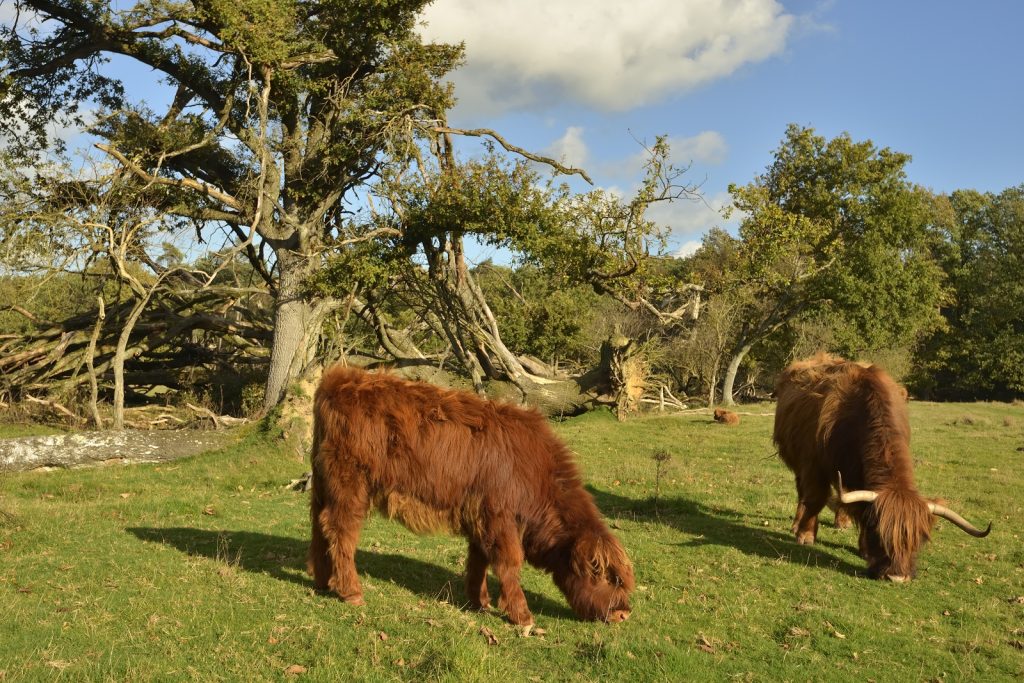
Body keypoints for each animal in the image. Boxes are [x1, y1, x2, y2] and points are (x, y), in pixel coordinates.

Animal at [305, 366, 630, 626]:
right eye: (603, 575)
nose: (624, 613)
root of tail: (340, 378)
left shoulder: (481, 516)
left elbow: (479, 560)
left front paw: (479, 602)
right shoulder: (499, 517)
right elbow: (509, 562)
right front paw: (521, 615)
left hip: (323, 483)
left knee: (319, 525)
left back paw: (322, 581)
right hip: (350, 485)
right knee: (341, 531)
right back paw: (351, 591)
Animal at [770, 352, 987, 581]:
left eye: (918, 540)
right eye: (881, 535)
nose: (897, 577)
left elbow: (860, 505)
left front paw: (863, 549)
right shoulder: (813, 465)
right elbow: (815, 499)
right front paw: (806, 535)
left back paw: (842, 522)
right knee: (803, 493)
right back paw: (797, 525)